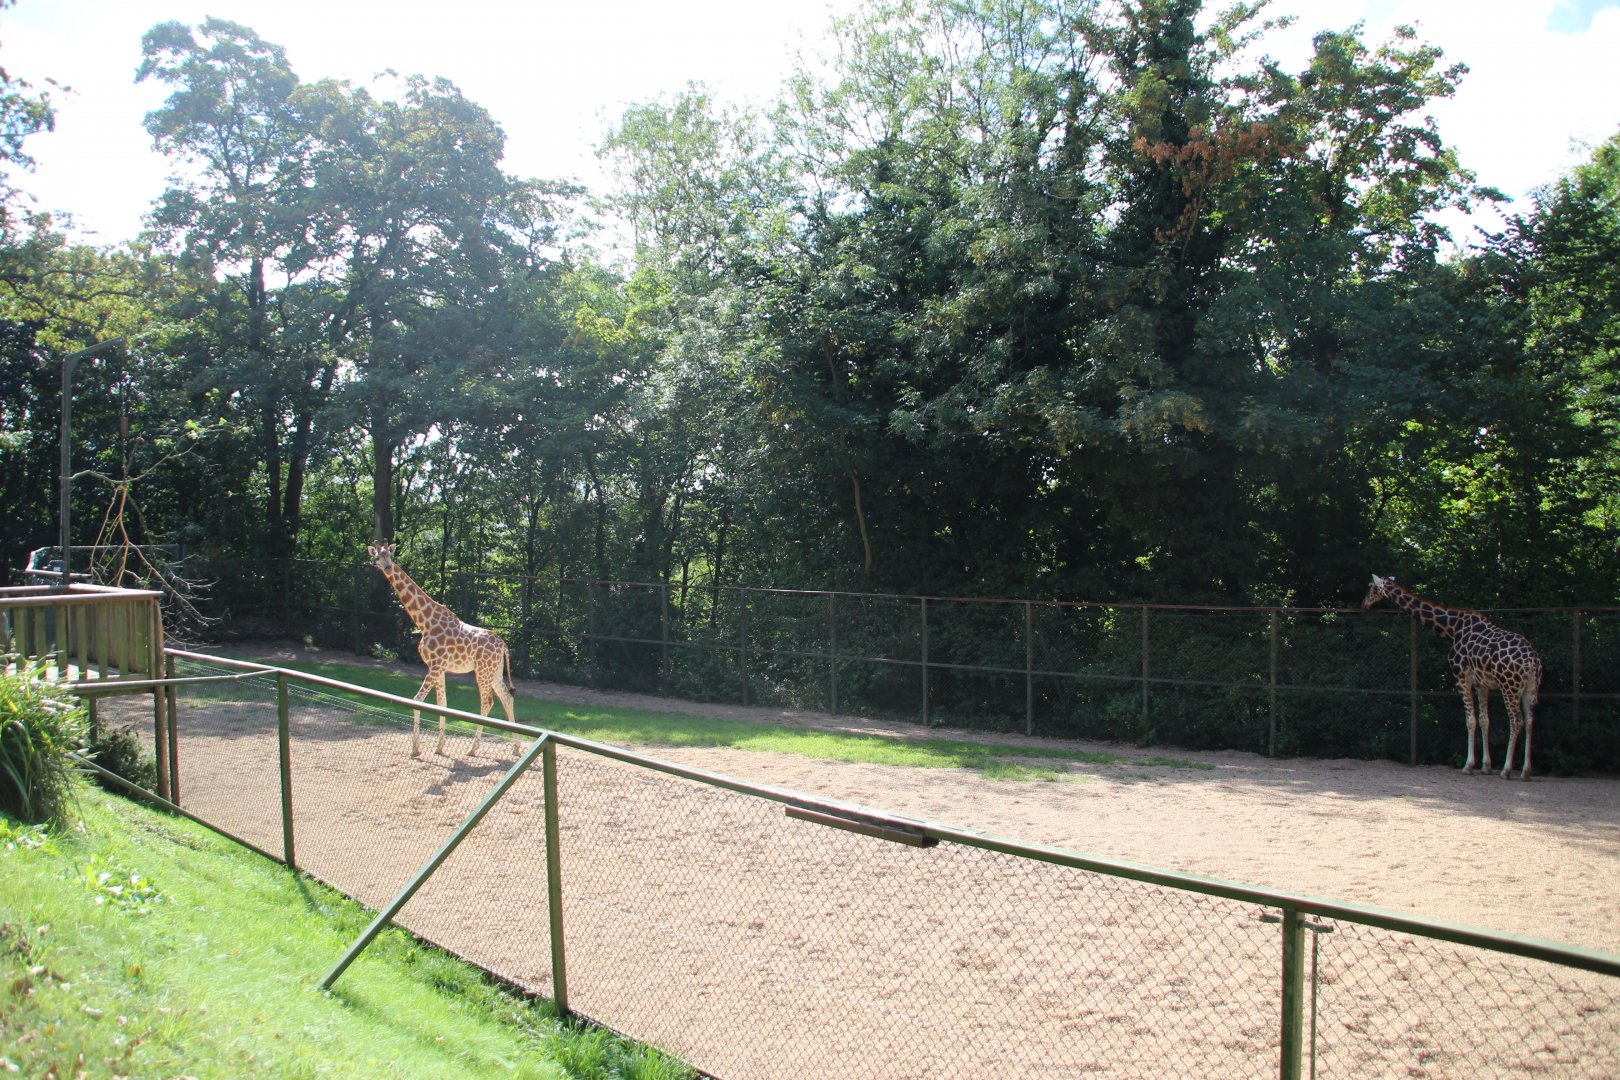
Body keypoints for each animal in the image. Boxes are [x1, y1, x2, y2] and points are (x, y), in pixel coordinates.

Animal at [367, 542, 520, 757]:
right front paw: (439, 747)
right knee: (506, 697)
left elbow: (418, 700)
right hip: (495, 671)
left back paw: (473, 749)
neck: (424, 622)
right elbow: (442, 704)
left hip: (483, 671)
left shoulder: (436, 665)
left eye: (390, 555)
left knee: (487, 702)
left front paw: (416, 749)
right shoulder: (437, 667)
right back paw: (516, 748)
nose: (388, 567)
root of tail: (503, 645)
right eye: (377, 558)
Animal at [1361, 574, 1543, 780]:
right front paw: (1486, 766)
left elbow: (1470, 720)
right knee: (1530, 721)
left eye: (1371, 587)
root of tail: (1532, 661)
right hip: (1530, 689)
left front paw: (1468, 765)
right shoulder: (1482, 684)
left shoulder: (1461, 678)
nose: (1364, 604)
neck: (1452, 628)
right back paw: (1526, 771)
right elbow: (1484, 720)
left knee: (1516, 721)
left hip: (1509, 687)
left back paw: (1506, 770)